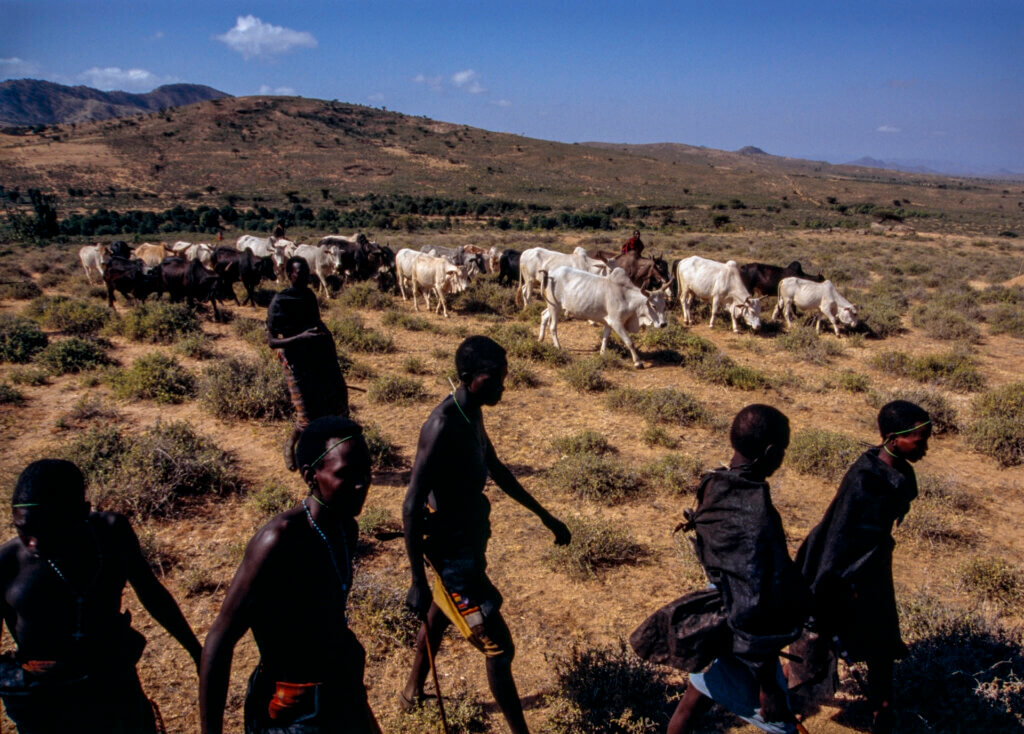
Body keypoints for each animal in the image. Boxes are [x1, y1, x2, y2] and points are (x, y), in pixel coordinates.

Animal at [536, 264, 671, 368]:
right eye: (653, 305)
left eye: (665, 305)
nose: (663, 324)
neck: (627, 298)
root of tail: (551, 273)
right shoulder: (617, 323)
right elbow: (629, 342)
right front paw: (638, 362)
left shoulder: (609, 322)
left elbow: (605, 338)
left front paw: (602, 354)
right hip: (555, 307)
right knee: (553, 326)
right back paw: (558, 347)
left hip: (553, 306)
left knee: (543, 315)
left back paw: (540, 339)